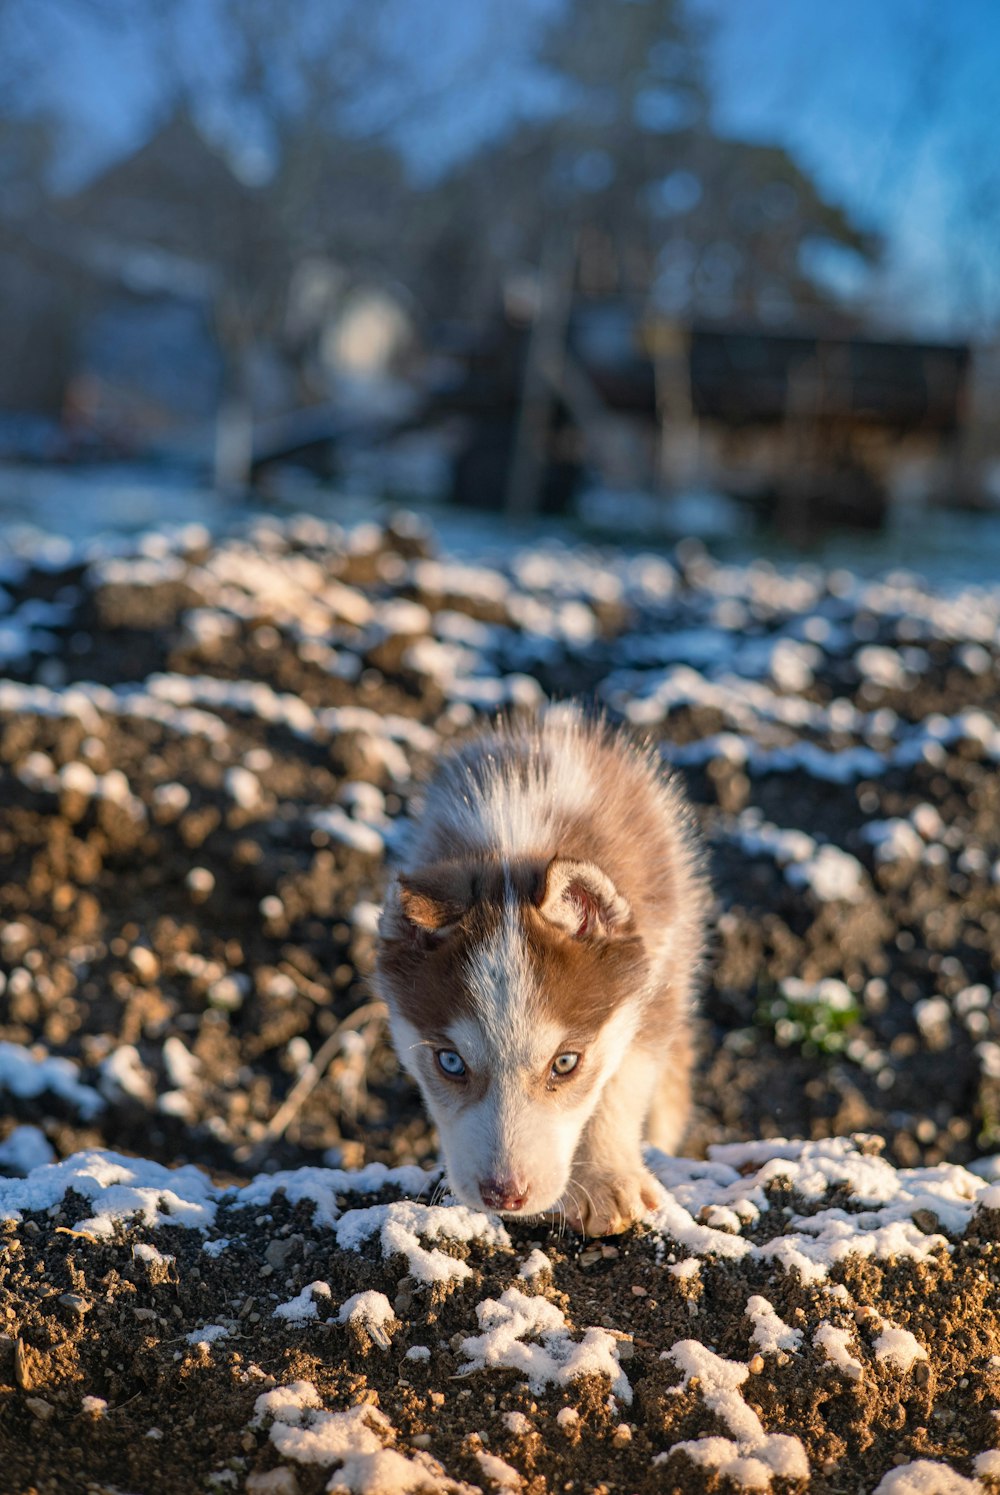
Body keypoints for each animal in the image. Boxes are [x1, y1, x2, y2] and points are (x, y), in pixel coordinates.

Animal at [373, 705, 708, 1231]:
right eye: (450, 1062)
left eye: (565, 1063)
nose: (503, 1195)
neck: (516, 840)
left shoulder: (655, 970)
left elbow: (623, 1078)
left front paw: (605, 1179)